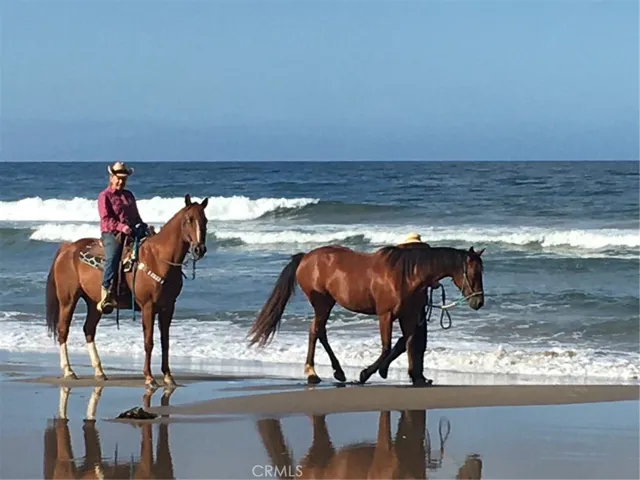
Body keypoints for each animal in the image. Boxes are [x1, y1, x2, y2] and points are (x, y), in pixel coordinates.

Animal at [45, 194, 208, 389]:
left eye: (205, 220)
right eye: (189, 219)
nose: (199, 249)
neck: (159, 259)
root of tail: (67, 248)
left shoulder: (168, 307)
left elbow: (165, 342)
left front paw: (168, 377)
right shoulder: (148, 307)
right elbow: (148, 342)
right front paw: (149, 377)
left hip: (94, 303)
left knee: (89, 330)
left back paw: (99, 372)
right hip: (68, 300)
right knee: (63, 330)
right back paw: (69, 371)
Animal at [248, 244, 484, 386]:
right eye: (474, 273)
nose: (479, 302)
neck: (406, 276)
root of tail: (305, 257)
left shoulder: (408, 316)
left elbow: (407, 343)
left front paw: (414, 376)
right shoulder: (385, 315)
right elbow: (387, 346)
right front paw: (366, 374)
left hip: (327, 303)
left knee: (318, 331)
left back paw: (336, 372)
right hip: (322, 303)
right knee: (316, 331)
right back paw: (314, 373)